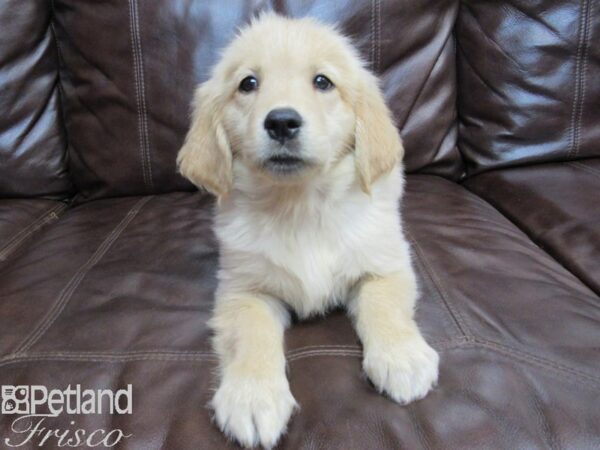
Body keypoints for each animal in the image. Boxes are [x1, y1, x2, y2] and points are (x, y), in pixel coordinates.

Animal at [176, 12, 438, 448]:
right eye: (248, 83)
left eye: (323, 81)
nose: (282, 122)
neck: (300, 205)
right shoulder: (243, 289)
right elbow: (252, 333)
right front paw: (252, 397)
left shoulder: (386, 265)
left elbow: (384, 305)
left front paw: (402, 357)